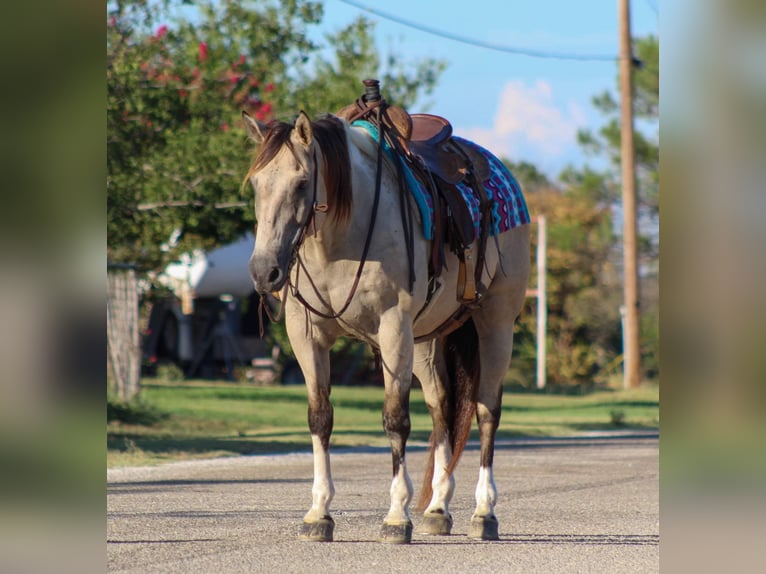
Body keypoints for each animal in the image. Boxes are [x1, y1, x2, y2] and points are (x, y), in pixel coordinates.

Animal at [242, 109, 530, 543]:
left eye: (302, 182)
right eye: (257, 184)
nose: (264, 271)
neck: (342, 239)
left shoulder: (394, 330)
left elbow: (396, 420)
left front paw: (396, 516)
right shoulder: (307, 337)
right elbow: (320, 417)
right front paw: (319, 513)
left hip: (495, 321)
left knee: (486, 411)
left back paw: (484, 512)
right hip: (427, 340)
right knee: (443, 408)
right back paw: (438, 507)